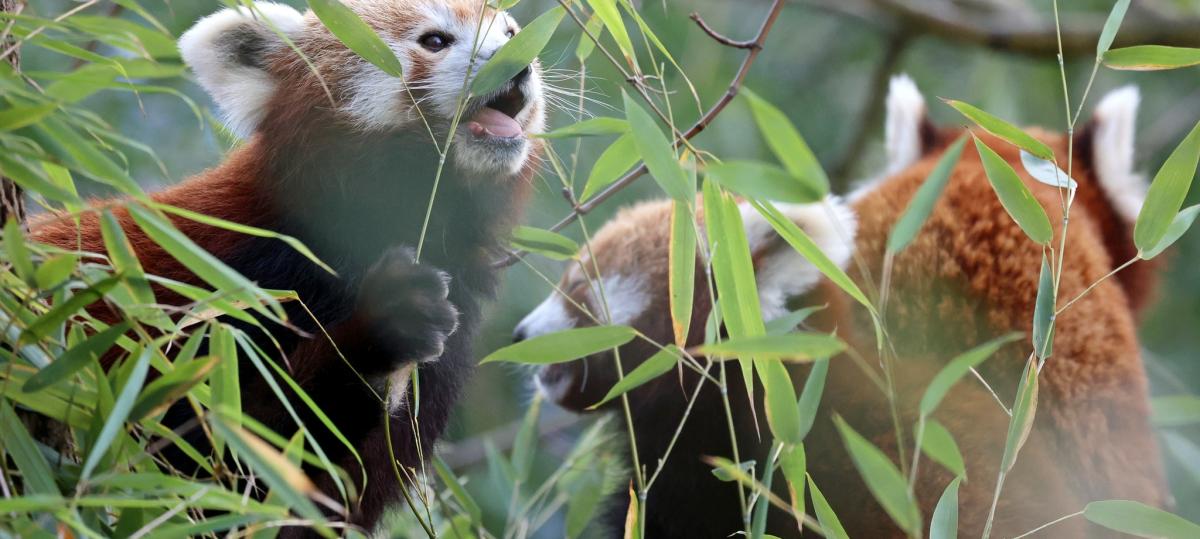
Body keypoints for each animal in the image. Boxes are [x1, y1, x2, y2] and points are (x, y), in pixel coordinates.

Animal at [29, 0, 545, 535]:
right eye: (436, 41)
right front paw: (383, 326)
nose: (518, 61)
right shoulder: (209, 294)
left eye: (510, 31)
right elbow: (200, 450)